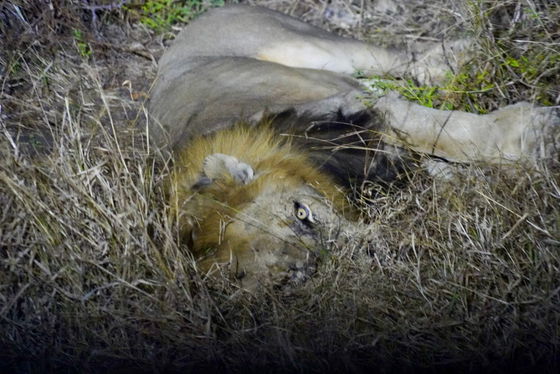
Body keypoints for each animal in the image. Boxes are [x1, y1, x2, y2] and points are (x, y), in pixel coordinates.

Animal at [150, 4, 560, 288]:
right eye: (298, 273)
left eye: (302, 213)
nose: (370, 252)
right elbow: (442, 166)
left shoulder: (362, 110)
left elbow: (446, 131)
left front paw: (535, 138)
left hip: (307, 45)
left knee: (402, 60)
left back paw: (462, 54)